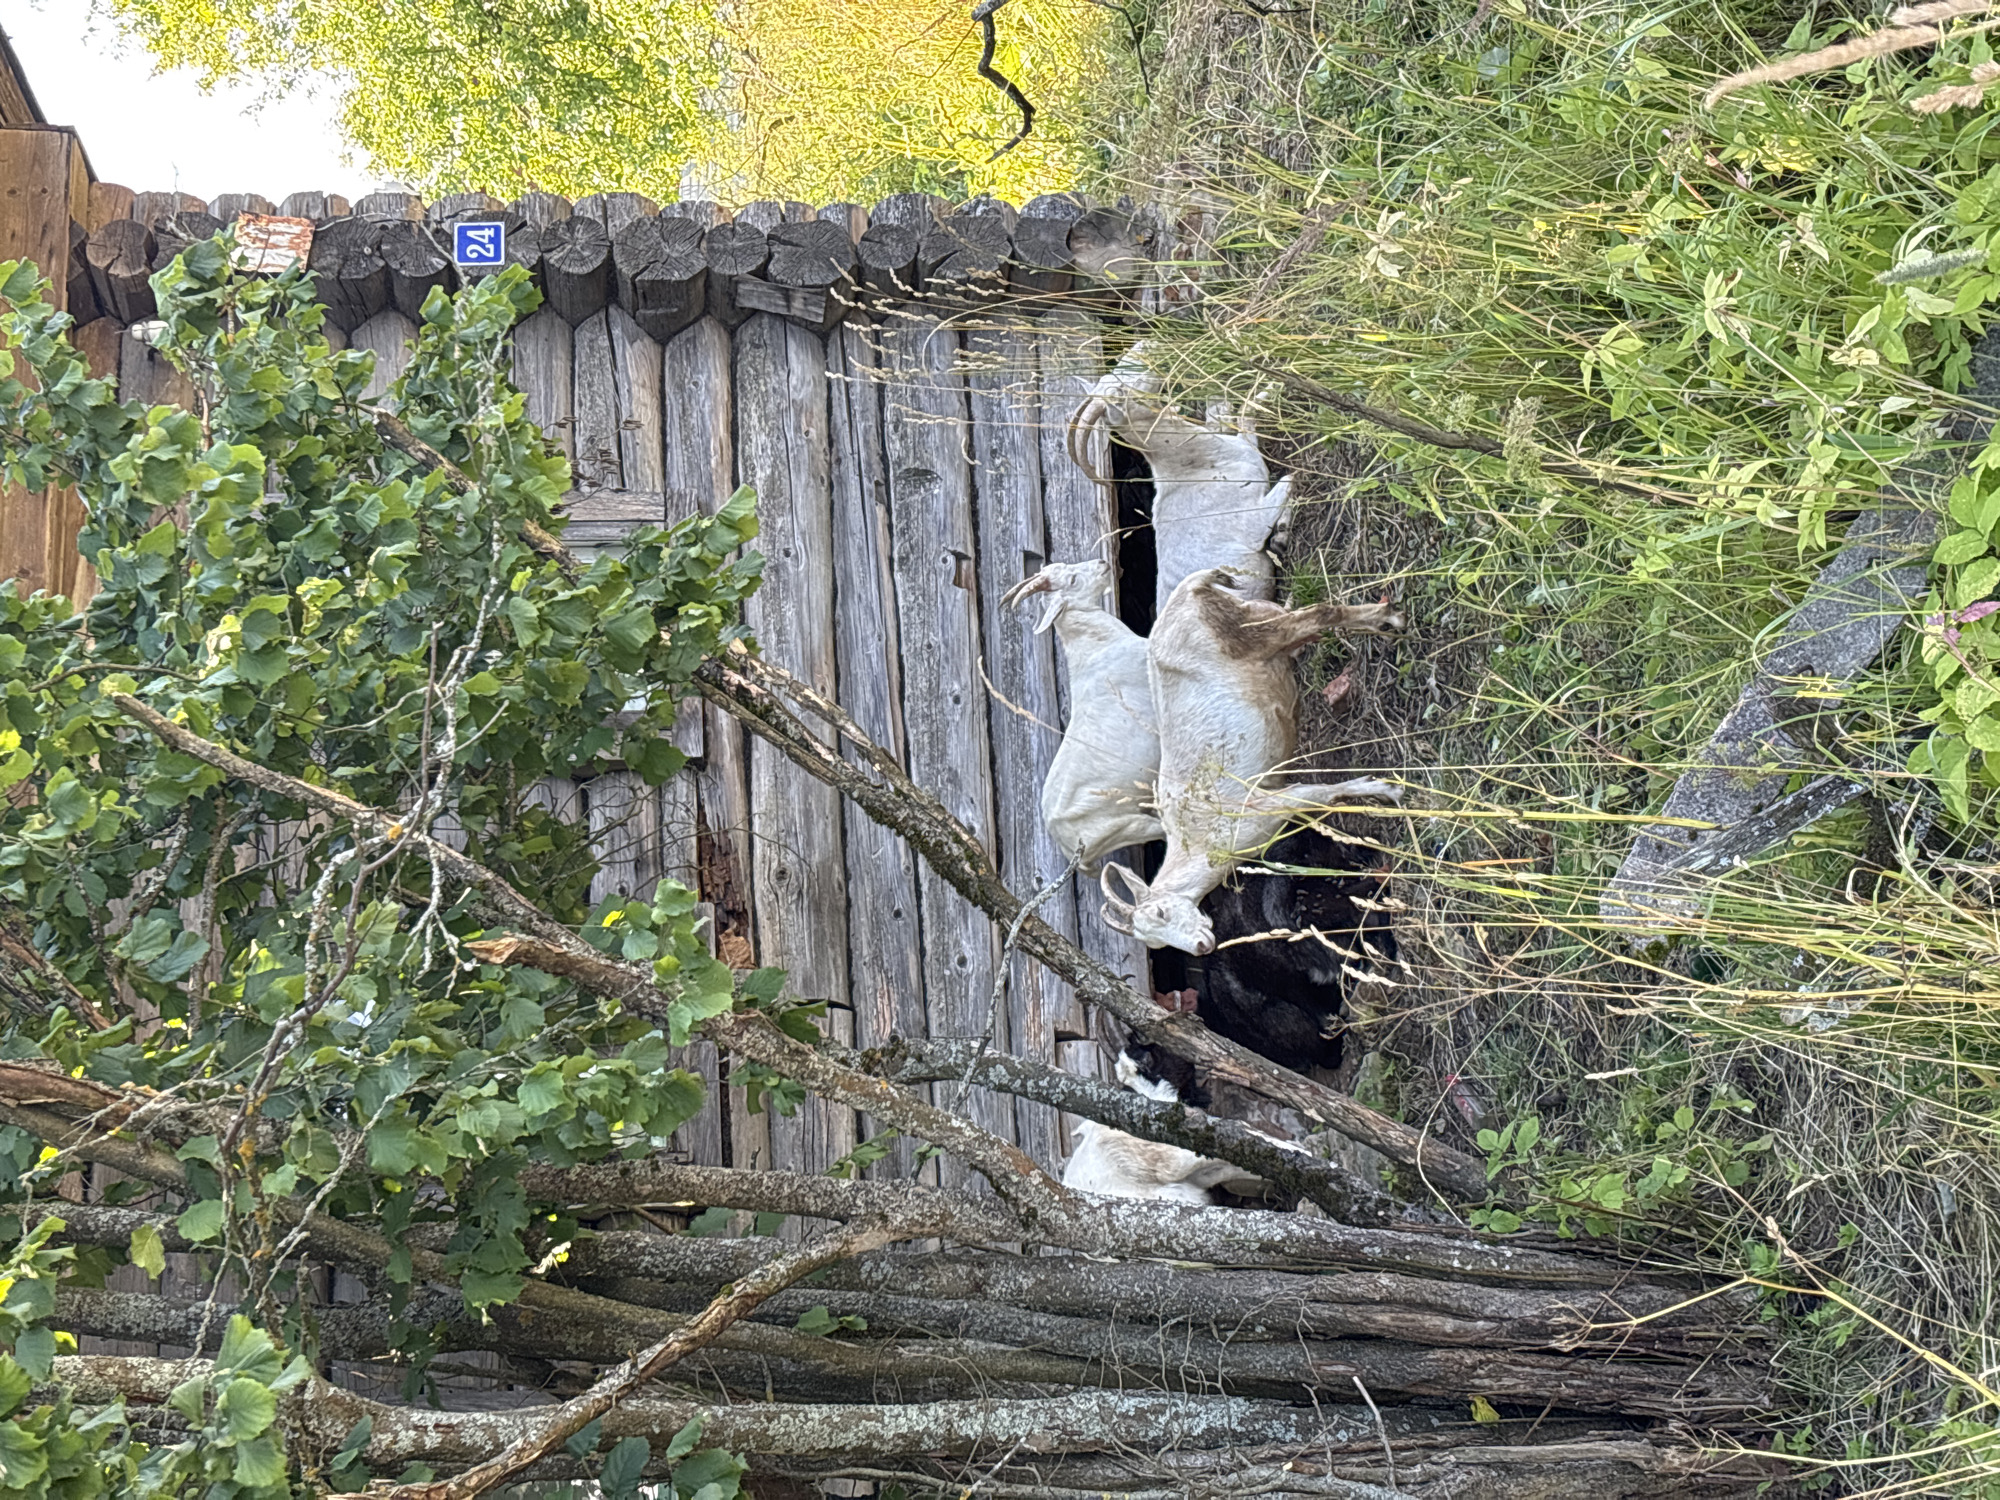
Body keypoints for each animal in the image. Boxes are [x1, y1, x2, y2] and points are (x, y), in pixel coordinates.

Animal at [1068, 344, 1293, 614]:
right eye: (1120, 388)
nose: (1145, 345)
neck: (1198, 465)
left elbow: (1246, 417)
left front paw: (1271, 386)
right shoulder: (1253, 521)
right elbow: (1289, 480)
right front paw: (1281, 536)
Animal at [1100, 568, 1405, 956]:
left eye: (1161, 912)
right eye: (1157, 942)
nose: (1202, 946)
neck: (1198, 841)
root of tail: (1194, 584)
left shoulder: (1264, 805)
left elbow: (1322, 793)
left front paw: (1386, 790)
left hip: (1252, 633)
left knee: (1319, 613)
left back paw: (1389, 620)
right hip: (1257, 614)